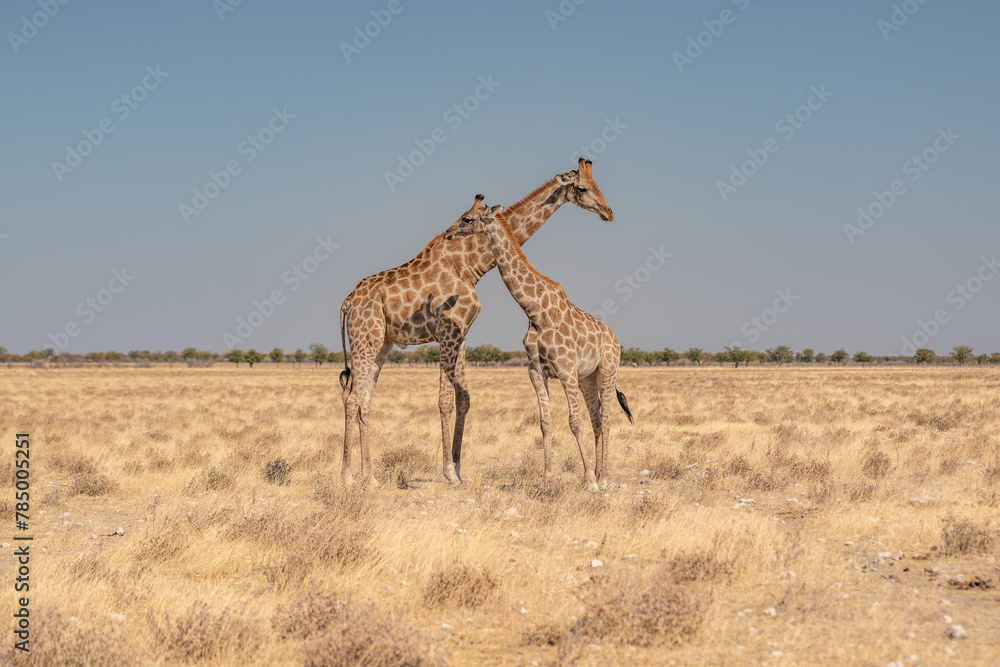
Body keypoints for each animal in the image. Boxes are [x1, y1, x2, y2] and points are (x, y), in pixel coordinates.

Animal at [339, 159, 614, 486]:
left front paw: (458, 469)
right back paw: (347, 475)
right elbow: (445, 400)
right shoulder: (447, 332)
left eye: (598, 185)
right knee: (351, 397)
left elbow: (464, 399)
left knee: (364, 400)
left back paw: (369, 477)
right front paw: (448, 472)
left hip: (382, 342)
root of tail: (346, 303)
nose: (608, 212)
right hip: (363, 338)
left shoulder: (462, 332)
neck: (473, 263)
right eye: (582, 188)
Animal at [444, 197, 633, 493]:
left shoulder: (565, 369)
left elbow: (574, 422)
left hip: (608, 370)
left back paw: (603, 477)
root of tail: (614, 337)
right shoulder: (536, 371)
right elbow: (546, 422)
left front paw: (590, 482)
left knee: (607, 418)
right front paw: (547, 477)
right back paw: (596, 471)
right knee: (597, 419)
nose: (447, 235)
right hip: (587, 378)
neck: (534, 310)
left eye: (467, 218)